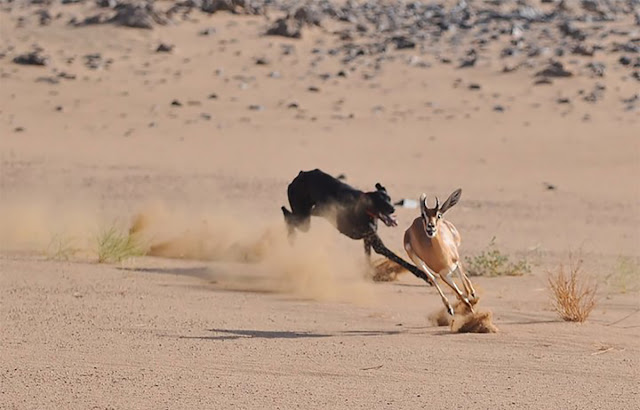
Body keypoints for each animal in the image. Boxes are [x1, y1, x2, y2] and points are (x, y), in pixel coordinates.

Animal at [282, 169, 436, 286]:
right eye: (381, 201)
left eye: (389, 199)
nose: (393, 209)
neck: (366, 209)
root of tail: (302, 174)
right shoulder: (378, 245)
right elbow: (400, 260)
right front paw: (423, 275)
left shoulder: (368, 239)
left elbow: (368, 258)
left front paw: (369, 275)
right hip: (304, 218)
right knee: (288, 215)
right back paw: (290, 235)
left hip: (306, 216)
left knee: (289, 215)